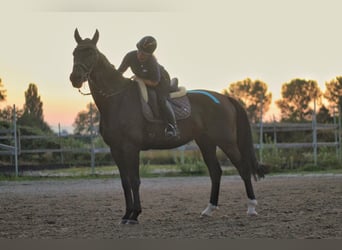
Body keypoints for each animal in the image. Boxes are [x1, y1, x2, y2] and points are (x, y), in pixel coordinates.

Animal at [69, 29, 266, 225]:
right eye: (75, 52)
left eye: (91, 53)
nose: (75, 78)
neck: (117, 99)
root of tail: (224, 98)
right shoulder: (116, 149)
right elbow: (125, 182)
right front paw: (126, 215)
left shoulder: (131, 148)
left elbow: (134, 180)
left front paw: (135, 214)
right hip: (206, 142)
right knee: (215, 172)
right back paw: (209, 209)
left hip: (226, 142)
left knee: (243, 168)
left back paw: (251, 207)